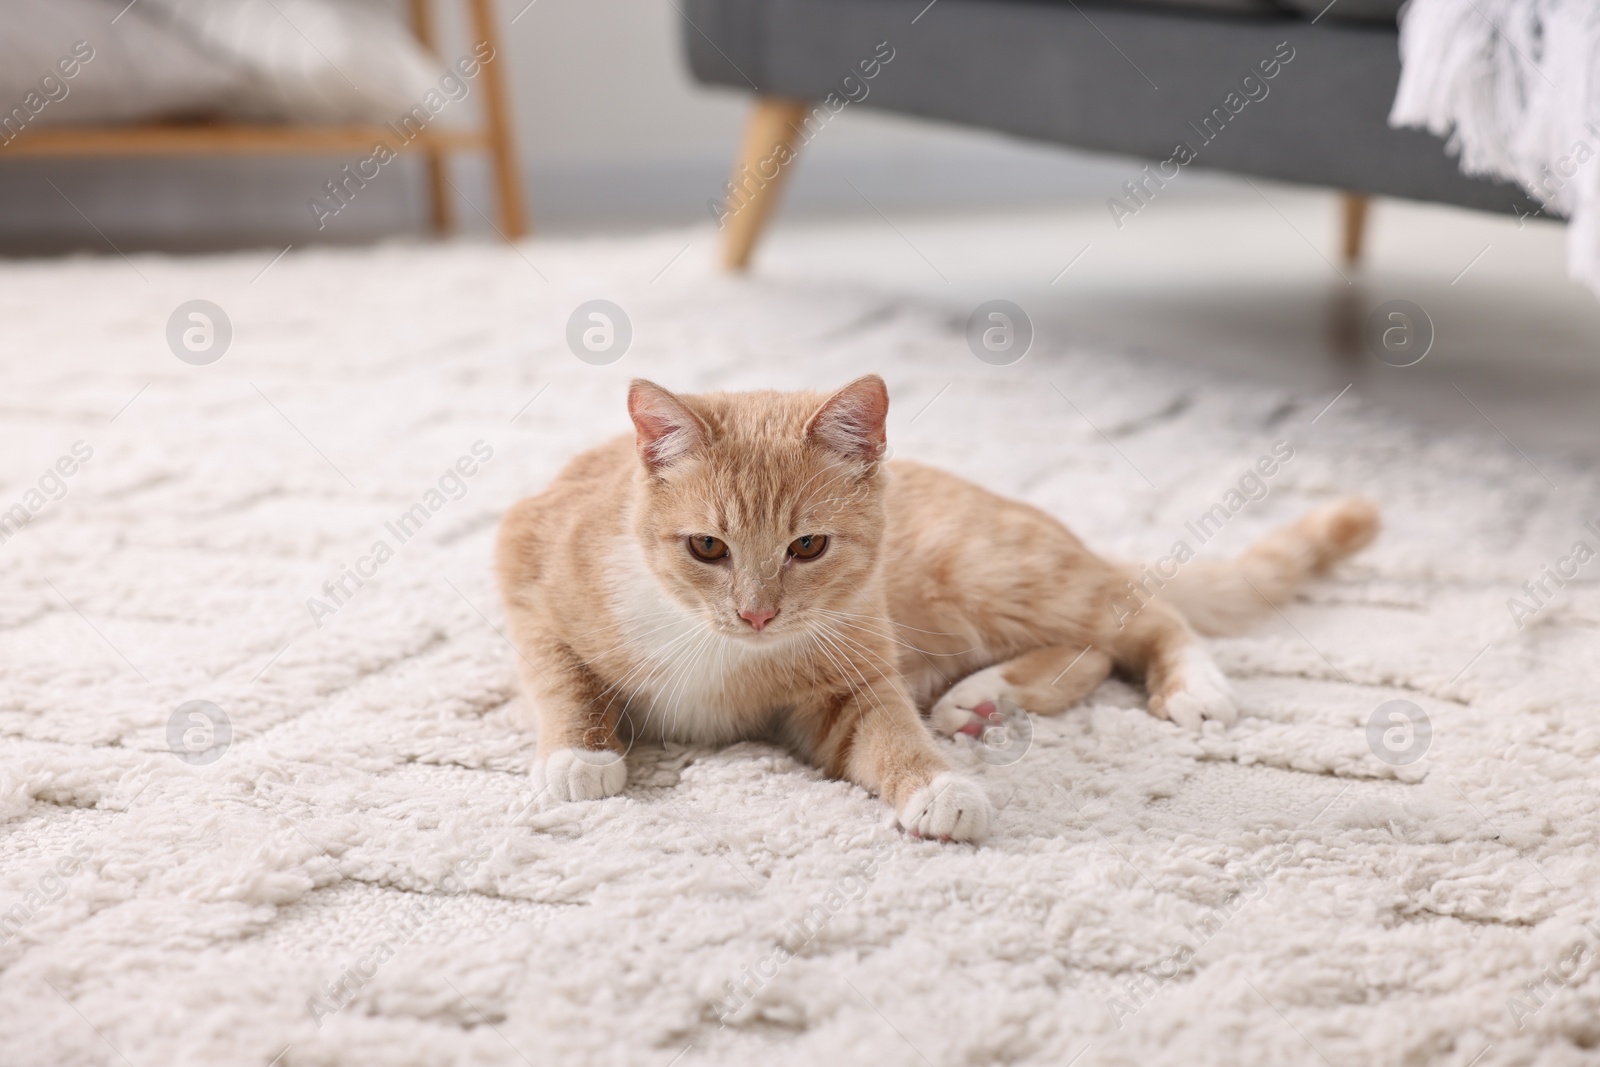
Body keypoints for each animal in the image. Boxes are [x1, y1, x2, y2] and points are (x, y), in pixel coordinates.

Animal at [496, 375, 1376, 844]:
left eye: (808, 546)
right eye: (707, 547)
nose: (757, 615)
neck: (717, 646)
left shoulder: (850, 679)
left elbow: (889, 733)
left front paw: (938, 788)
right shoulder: (523, 565)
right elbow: (562, 677)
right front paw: (580, 752)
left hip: (992, 573)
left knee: (1139, 616)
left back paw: (1191, 683)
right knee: (1091, 649)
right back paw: (983, 698)